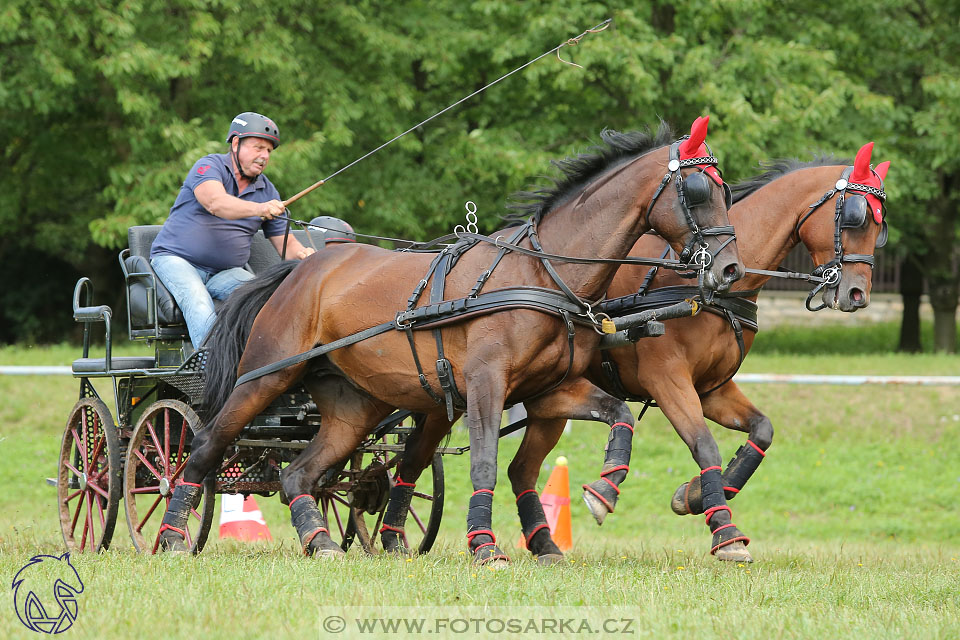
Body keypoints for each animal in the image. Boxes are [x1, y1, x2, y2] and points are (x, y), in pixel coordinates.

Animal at [158, 117, 748, 564]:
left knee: (301, 473)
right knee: (204, 446)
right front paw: (485, 546)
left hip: (356, 407)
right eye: (699, 192)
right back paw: (170, 535)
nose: (730, 269)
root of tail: (299, 270)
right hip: (265, 377)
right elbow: (485, 460)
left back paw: (320, 541)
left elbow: (618, 414)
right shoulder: (486, 384)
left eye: (726, 191)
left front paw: (603, 491)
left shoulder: (548, 391)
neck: (542, 272)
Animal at [380, 142, 884, 564]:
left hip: (542, 402)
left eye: (880, 225)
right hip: (448, 396)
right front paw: (724, 532)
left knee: (517, 469)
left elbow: (762, 429)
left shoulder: (712, 389)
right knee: (413, 457)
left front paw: (694, 496)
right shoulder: (668, 380)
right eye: (856, 216)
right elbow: (703, 443)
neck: (704, 290)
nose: (857, 293)